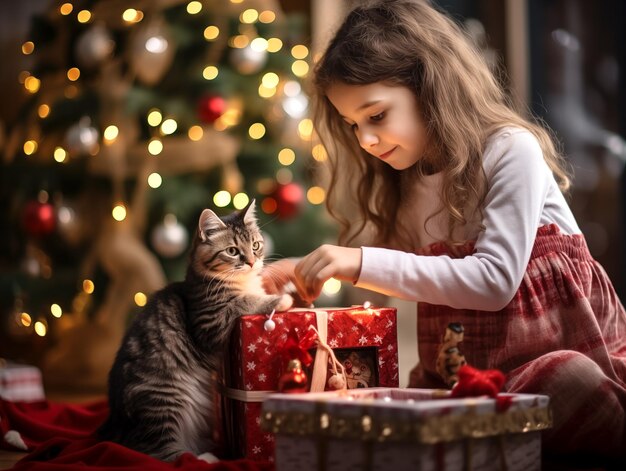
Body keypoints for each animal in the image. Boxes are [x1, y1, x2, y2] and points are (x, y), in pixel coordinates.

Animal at [97, 201, 292, 462]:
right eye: (232, 251)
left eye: (256, 246)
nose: (251, 262)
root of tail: (114, 419)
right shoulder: (210, 322)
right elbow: (245, 302)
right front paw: (280, 299)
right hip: (161, 401)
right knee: (157, 452)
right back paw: (206, 458)